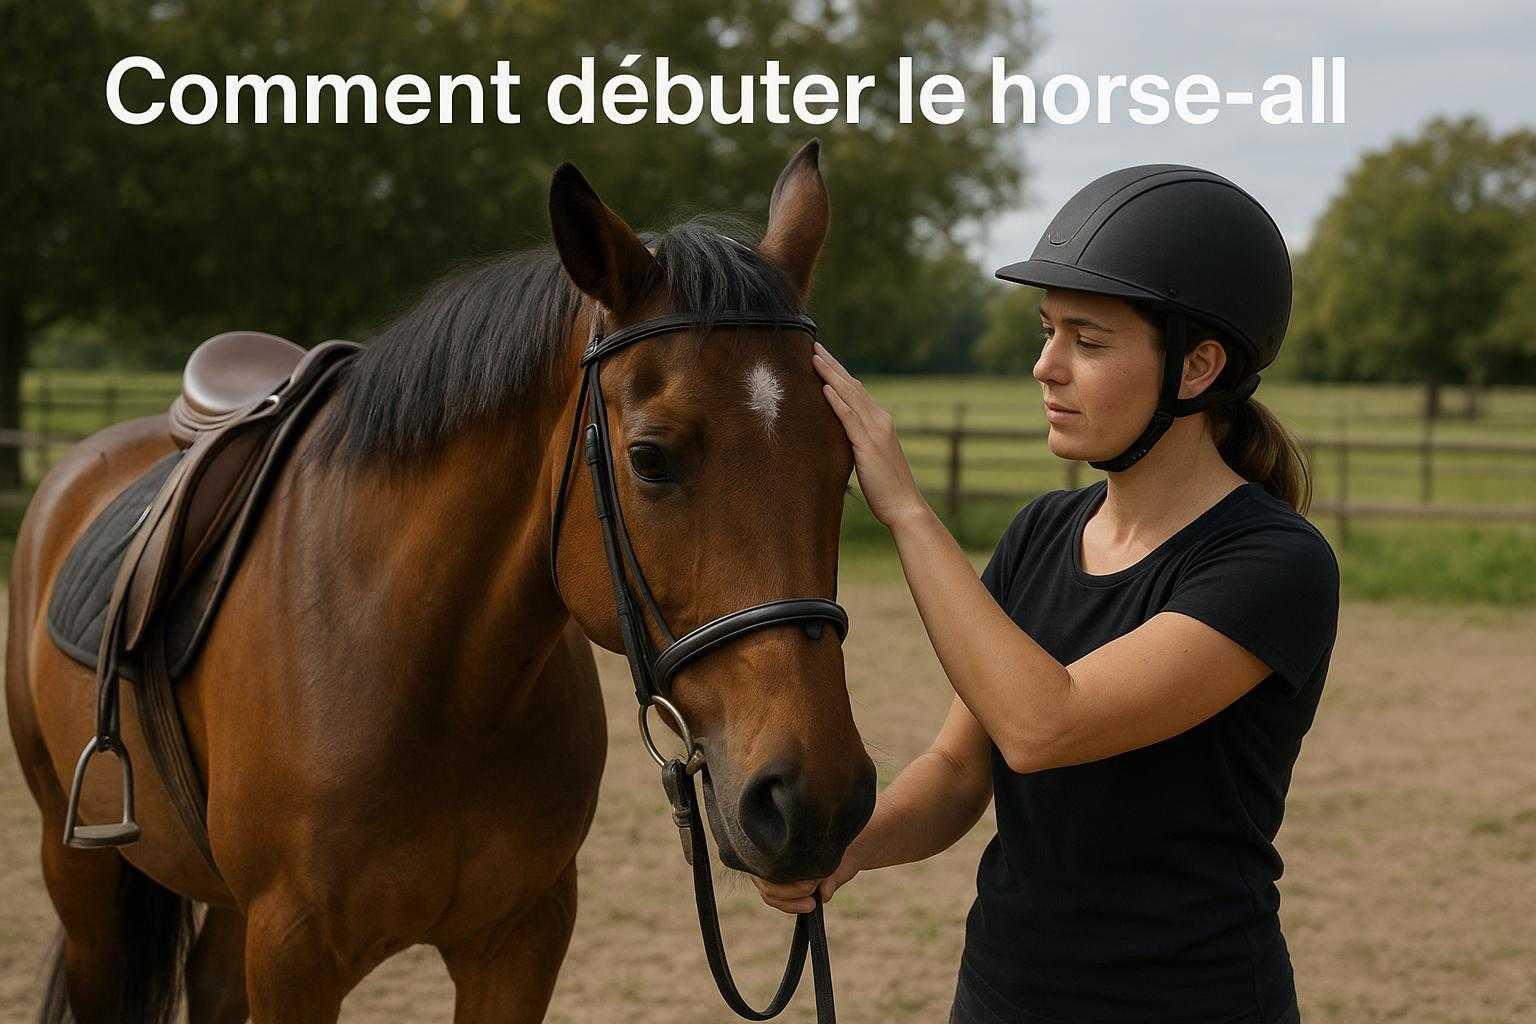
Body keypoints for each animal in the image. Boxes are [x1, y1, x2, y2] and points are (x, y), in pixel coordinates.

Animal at [5, 140, 876, 1023]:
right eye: (651, 459)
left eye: (844, 465)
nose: (815, 799)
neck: (434, 681)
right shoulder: (292, 954)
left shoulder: (520, 941)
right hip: (80, 874)